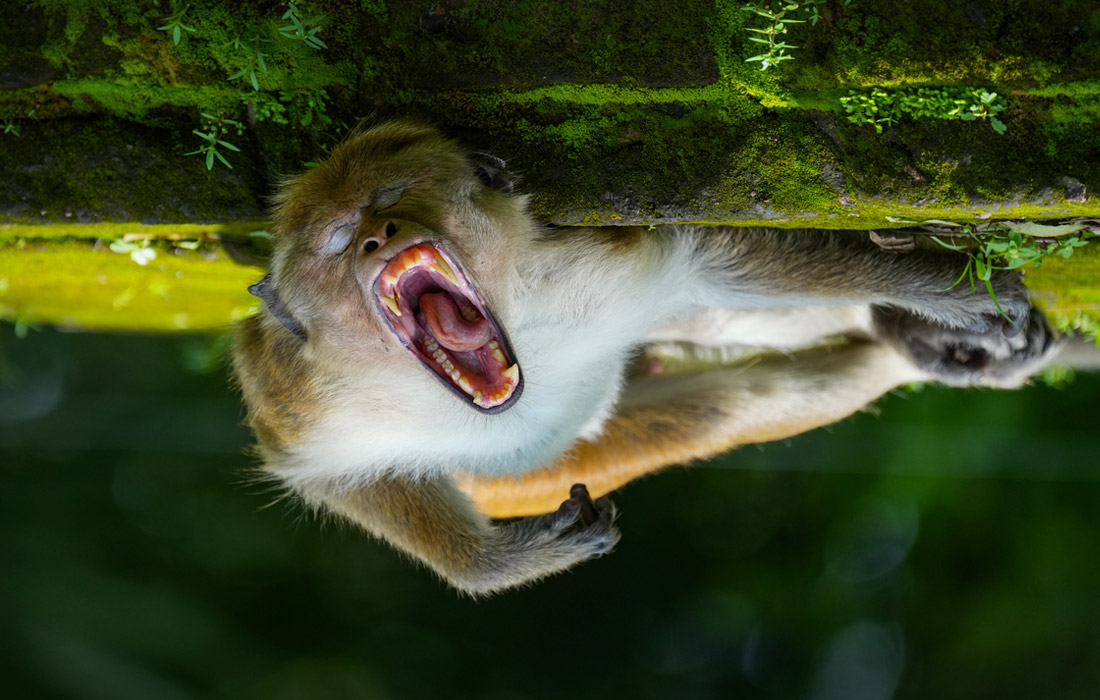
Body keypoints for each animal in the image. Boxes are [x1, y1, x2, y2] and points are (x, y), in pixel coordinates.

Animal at [236, 121, 1060, 594]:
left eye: (392, 198)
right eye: (339, 241)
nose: (379, 237)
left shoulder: (595, 269)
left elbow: (712, 267)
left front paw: (934, 293)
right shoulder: (309, 401)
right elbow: (324, 472)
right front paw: (501, 565)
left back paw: (902, 351)